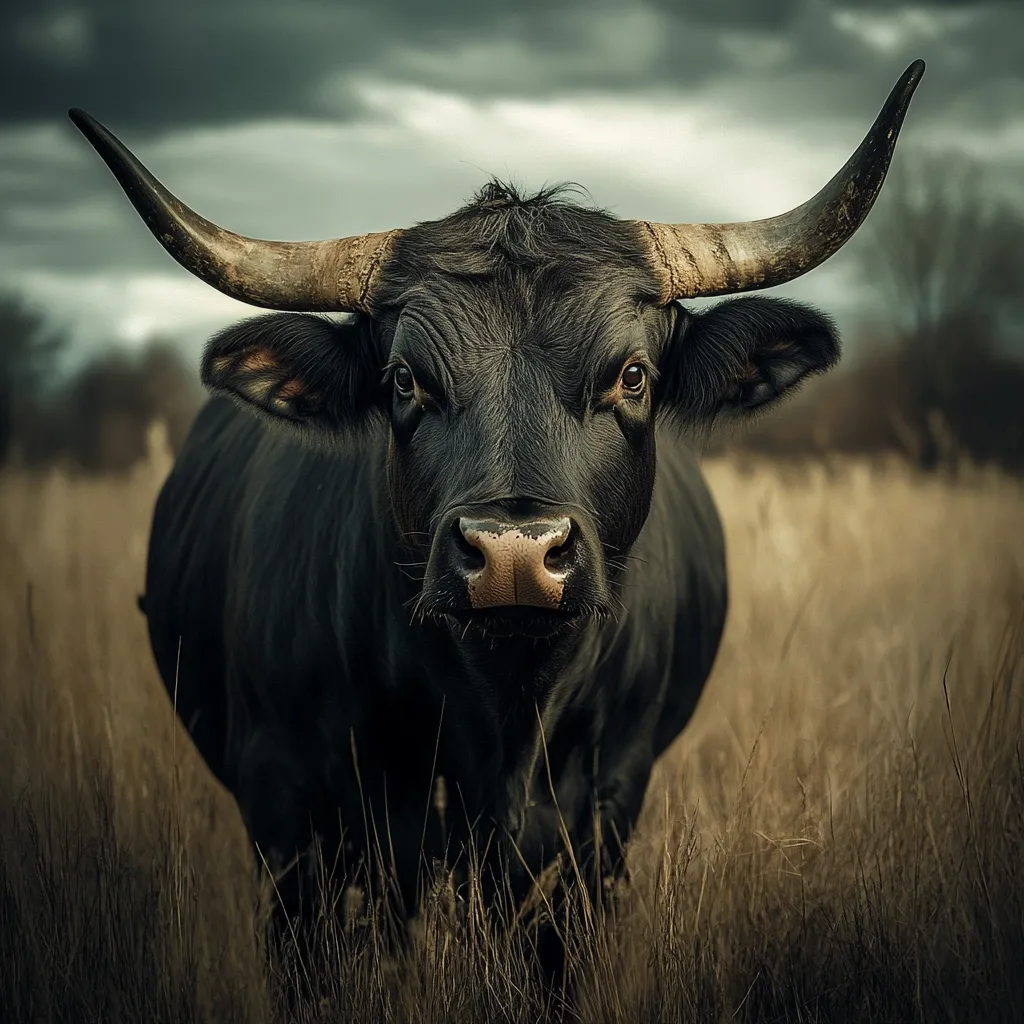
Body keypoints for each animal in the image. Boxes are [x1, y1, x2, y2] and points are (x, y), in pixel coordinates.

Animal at [70, 61, 924, 966]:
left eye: (632, 375)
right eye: (404, 379)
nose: (515, 554)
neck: (501, 713)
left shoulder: (606, 808)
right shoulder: (287, 812)